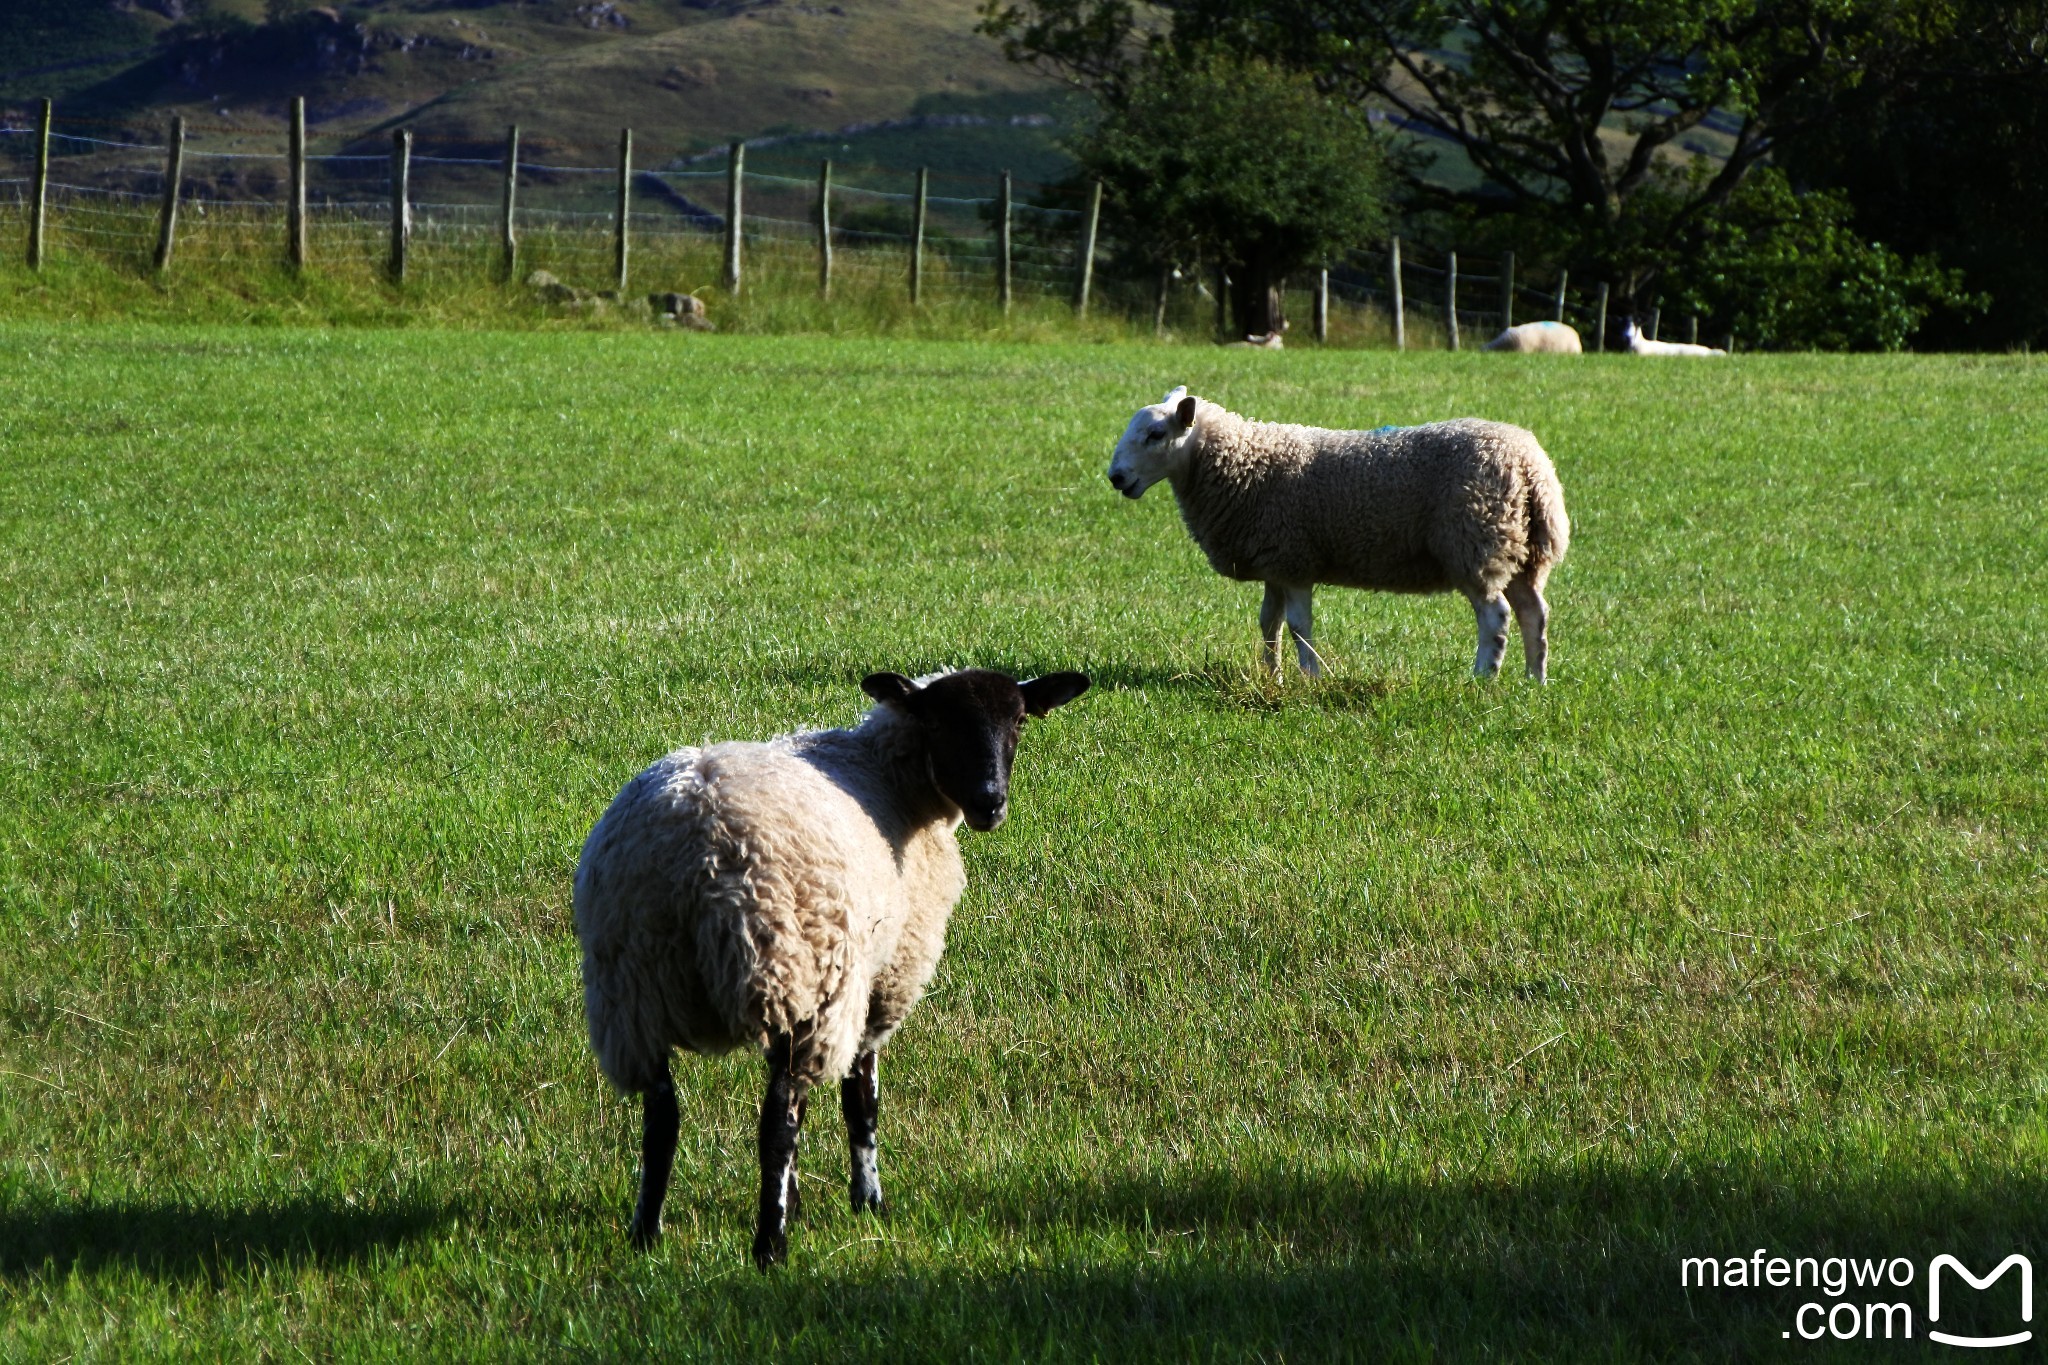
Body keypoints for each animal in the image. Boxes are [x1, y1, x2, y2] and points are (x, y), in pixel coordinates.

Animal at [569, 667, 1097, 1268]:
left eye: (1018, 720)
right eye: (939, 722)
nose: (991, 802)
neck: (893, 779)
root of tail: (691, 851)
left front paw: (799, 1199)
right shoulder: (881, 979)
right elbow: (860, 1099)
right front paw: (868, 1203)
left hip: (633, 990)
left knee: (662, 1117)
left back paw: (647, 1236)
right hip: (792, 973)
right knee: (776, 1119)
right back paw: (769, 1248)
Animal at [1105, 384, 1564, 683]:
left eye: (1155, 435)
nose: (1116, 477)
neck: (1240, 462)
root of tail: (1530, 464)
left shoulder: (1294, 560)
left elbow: (1297, 626)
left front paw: (1310, 676)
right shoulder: (1275, 562)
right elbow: (1268, 623)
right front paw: (1272, 674)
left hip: (1476, 544)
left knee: (1495, 616)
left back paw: (1482, 679)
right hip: (1523, 552)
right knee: (1533, 613)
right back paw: (1533, 681)